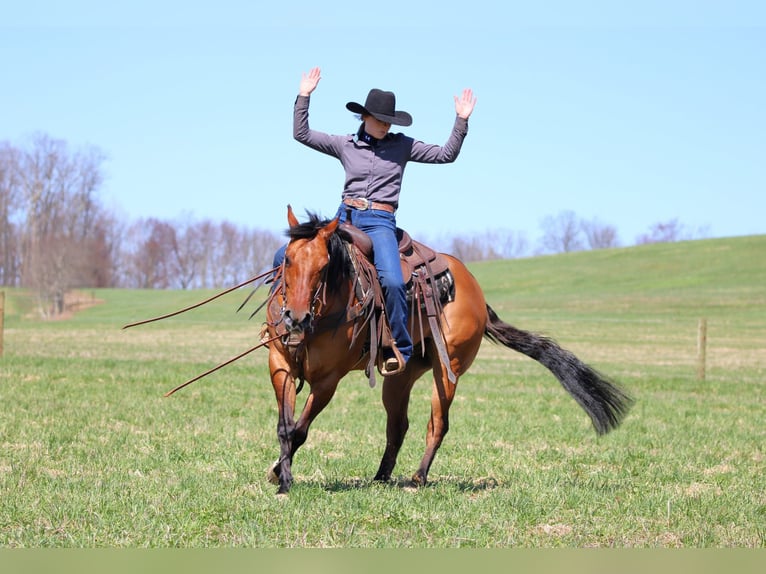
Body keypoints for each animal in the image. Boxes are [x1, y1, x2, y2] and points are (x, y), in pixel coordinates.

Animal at [263, 206, 633, 495]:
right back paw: (380, 478)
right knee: (398, 426)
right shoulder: (281, 364)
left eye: (324, 266)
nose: (295, 317)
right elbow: (285, 426)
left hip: (448, 368)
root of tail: (477, 294)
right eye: (288, 260)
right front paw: (280, 474)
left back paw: (418, 478)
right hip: (399, 376)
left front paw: (283, 477)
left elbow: (299, 429)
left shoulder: (329, 379)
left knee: (438, 424)